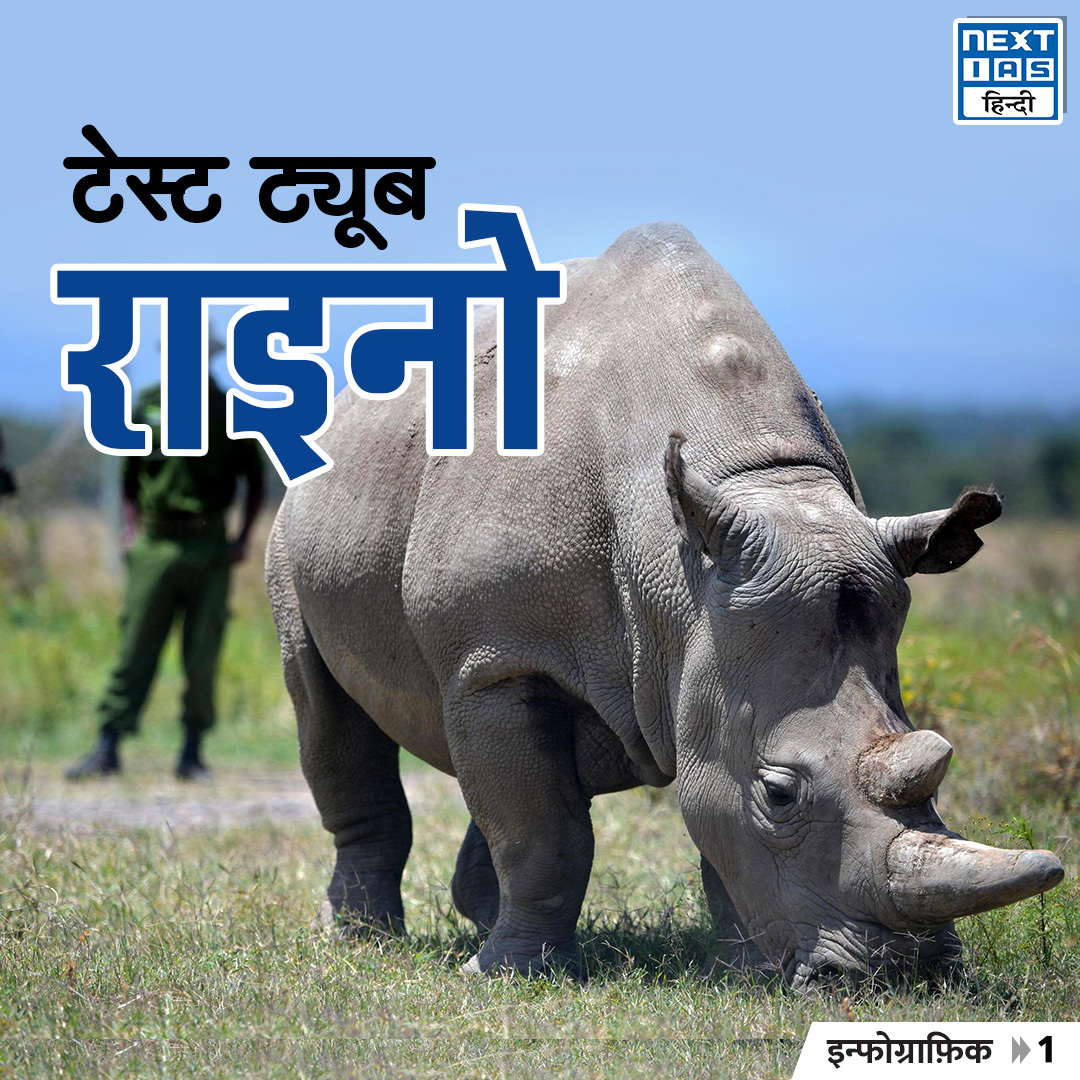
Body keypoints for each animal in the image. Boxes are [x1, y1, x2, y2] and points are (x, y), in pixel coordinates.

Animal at [266, 222, 1064, 986]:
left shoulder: (707, 635)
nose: (905, 974)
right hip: (292, 526)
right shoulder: (497, 660)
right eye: (780, 794)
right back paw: (362, 938)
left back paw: (475, 914)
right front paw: (509, 977)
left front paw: (744, 974)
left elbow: (699, 811)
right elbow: (543, 834)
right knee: (327, 713)